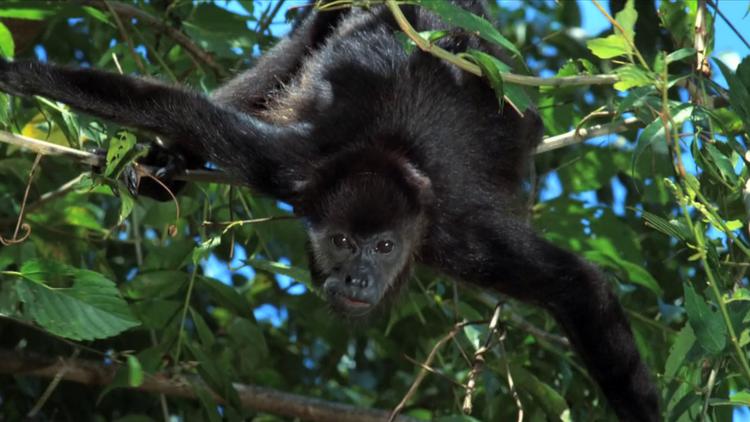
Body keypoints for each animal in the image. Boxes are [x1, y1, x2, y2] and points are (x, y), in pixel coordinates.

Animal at [0, 1, 656, 420]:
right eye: (342, 241)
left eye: (385, 247)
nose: (358, 278)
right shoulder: (286, 166)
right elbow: (175, 107)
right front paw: (21, 73)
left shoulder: (456, 234)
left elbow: (577, 285)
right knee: (289, 54)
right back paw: (165, 169)